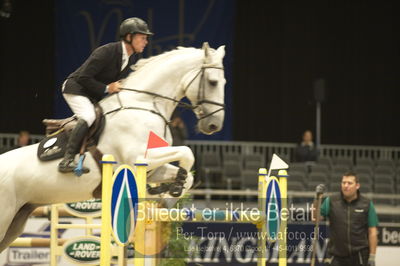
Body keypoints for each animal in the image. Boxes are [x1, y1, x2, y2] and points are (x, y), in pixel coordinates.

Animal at [0, 42, 225, 251]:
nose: (214, 125)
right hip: (5, 216)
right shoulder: (139, 156)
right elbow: (187, 152)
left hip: (17, 219)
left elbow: (187, 174)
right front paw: (173, 189)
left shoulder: (152, 168)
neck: (145, 103)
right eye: (213, 82)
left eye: (223, 82)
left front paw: (167, 195)